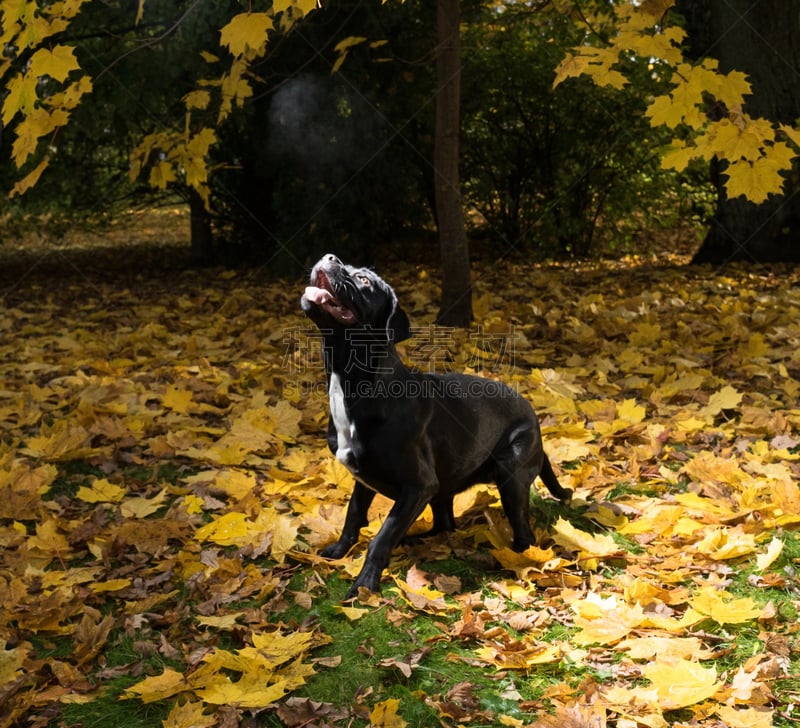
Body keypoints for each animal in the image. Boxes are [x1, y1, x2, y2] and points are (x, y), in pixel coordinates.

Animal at [300, 255, 568, 596]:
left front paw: (364, 585)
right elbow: (353, 516)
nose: (330, 257)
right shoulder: (366, 480)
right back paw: (416, 539)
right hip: (448, 486)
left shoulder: (418, 486)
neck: (354, 382)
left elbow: (381, 536)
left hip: (511, 474)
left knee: (524, 534)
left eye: (363, 280)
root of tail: (534, 416)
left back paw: (519, 559)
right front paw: (338, 551)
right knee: (444, 525)